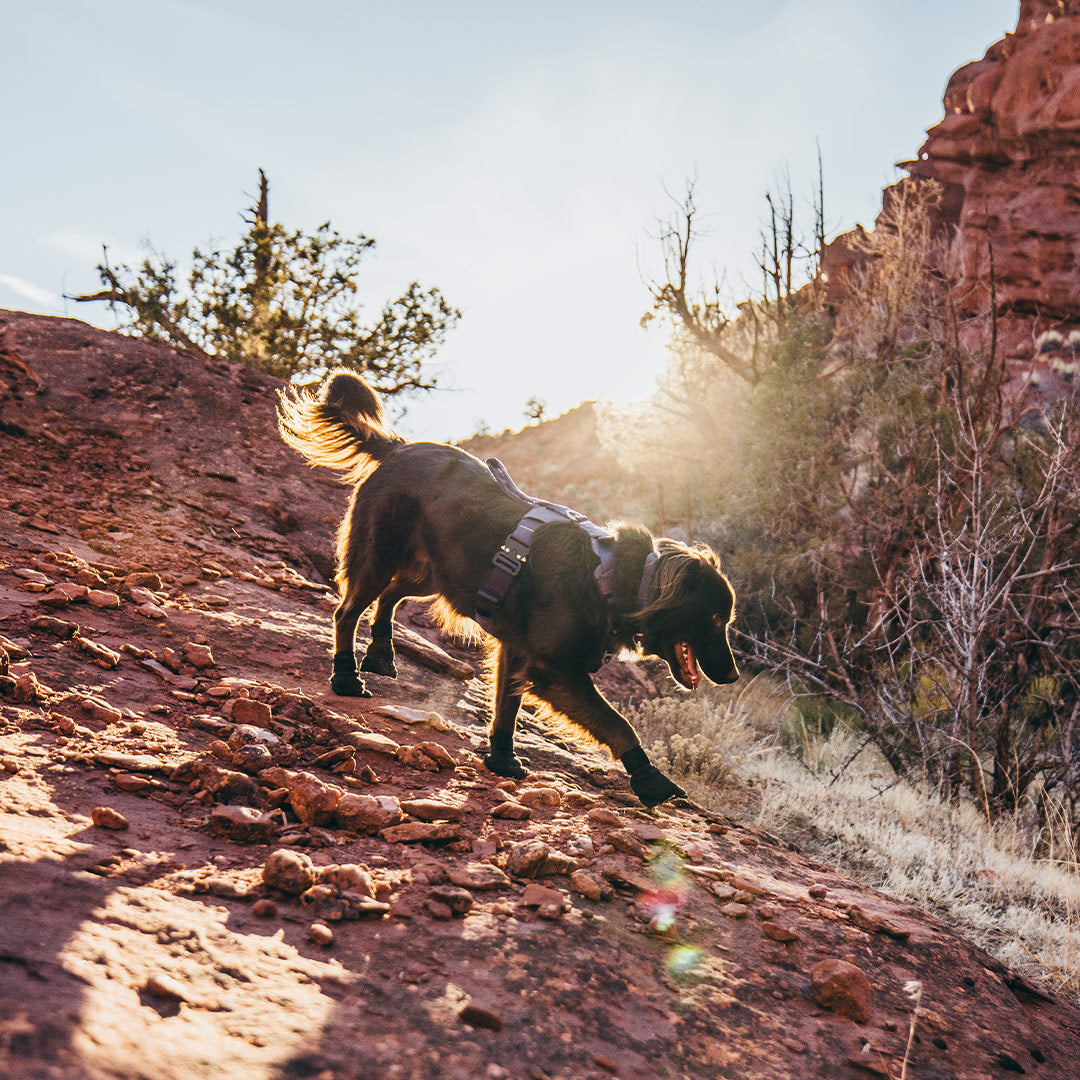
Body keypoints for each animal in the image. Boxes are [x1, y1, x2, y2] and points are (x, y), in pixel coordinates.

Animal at [274, 371, 738, 803]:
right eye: (715, 618)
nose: (732, 676)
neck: (610, 578)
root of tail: (398, 447)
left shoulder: (516, 652)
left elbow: (506, 709)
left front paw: (501, 757)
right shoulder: (552, 670)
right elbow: (616, 722)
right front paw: (649, 776)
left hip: (435, 575)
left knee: (388, 597)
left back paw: (382, 653)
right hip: (381, 556)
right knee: (346, 611)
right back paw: (346, 675)